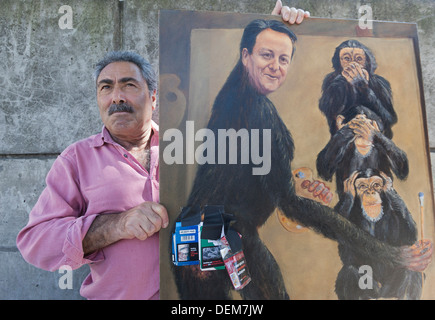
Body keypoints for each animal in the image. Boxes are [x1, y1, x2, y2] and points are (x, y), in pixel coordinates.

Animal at [336, 170, 424, 300]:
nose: (370, 192)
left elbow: (409, 239)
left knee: (411, 269)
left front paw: (388, 186)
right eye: (362, 186)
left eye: (376, 185)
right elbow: (347, 255)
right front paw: (349, 191)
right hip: (374, 293)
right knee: (349, 270)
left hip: (388, 292)